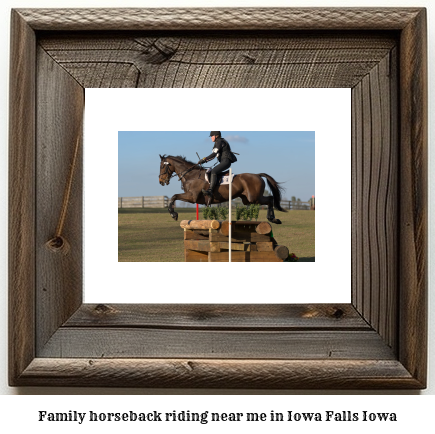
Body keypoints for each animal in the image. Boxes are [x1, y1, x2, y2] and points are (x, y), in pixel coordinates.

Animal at [158, 154, 288, 224]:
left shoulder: (192, 197)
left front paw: (173, 214)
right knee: (270, 199)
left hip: (254, 198)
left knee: (270, 199)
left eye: (162, 166)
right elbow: (174, 197)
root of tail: (257, 175)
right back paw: (273, 219)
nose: (160, 181)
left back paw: (273, 219)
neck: (191, 175)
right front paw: (173, 213)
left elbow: (174, 196)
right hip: (247, 199)